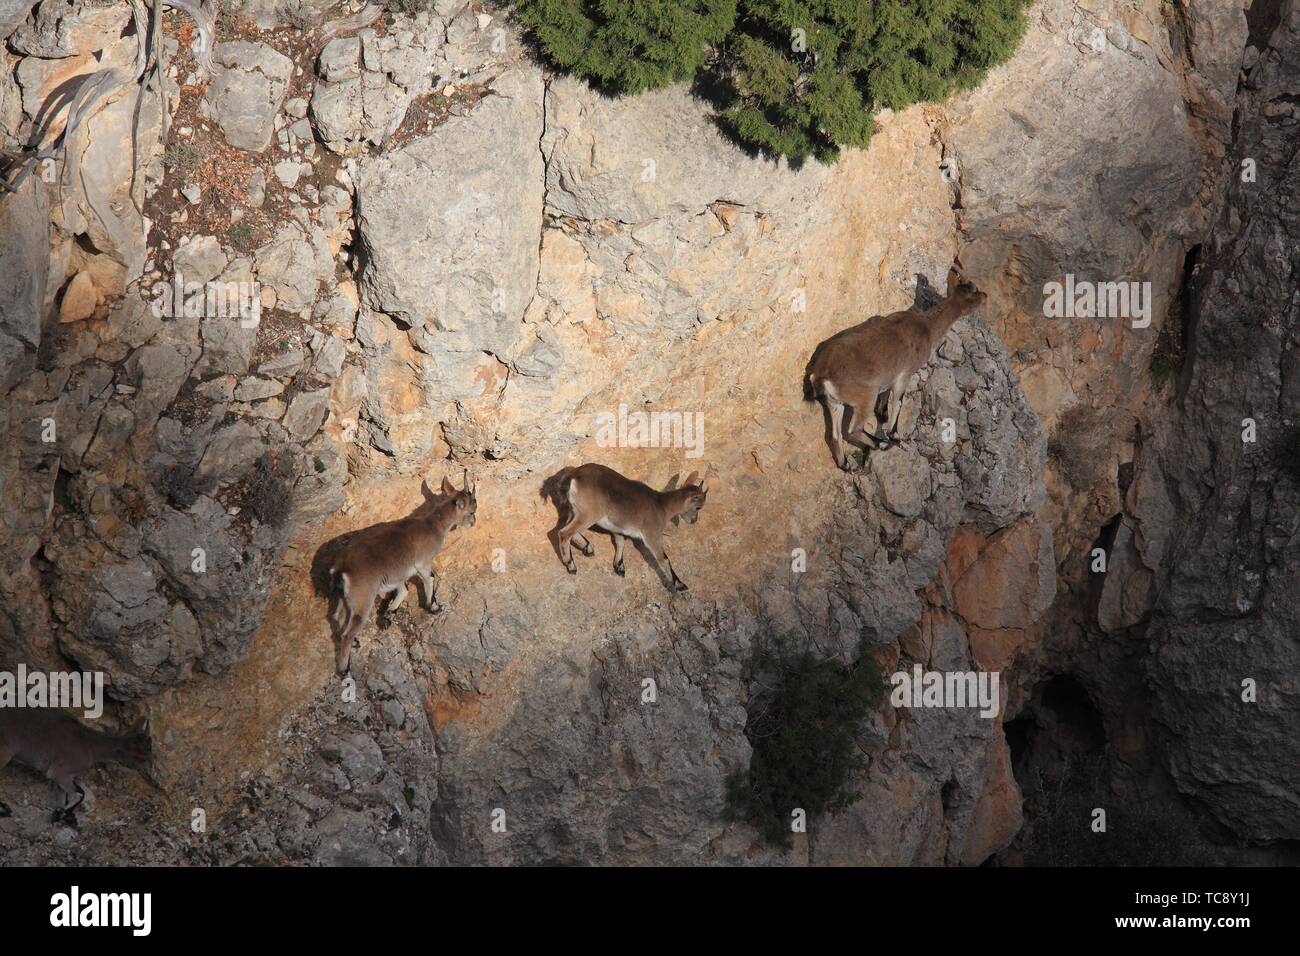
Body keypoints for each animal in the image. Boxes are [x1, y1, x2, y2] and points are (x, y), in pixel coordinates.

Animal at [0, 709, 151, 824]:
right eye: (141, 755)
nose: (146, 770)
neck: (90, 746)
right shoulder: (60, 772)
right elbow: (79, 794)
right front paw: (60, 814)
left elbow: (71, 794)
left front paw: (64, 814)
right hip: (5, 752)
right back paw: (4, 809)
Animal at [328, 471, 478, 674]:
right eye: (471, 511)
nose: (473, 522)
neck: (433, 525)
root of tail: (342, 568)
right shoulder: (423, 563)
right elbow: (430, 579)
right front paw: (433, 607)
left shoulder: (399, 573)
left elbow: (403, 590)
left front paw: (388, 613)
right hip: (362, 599)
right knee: (347, 633)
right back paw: (344, 669)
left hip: (343, 599)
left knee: (338, 619)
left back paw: (356, 642)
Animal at [551, 464, 708, 592]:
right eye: (699, 507)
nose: (694, 521)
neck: (661, 505)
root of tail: (575, 474)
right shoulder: (652, 535)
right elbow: (664, 559)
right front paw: (679, 585)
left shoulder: (618, 527)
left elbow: (620, 542)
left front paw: (619, 566)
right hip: (589, 514)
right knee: (564, 533)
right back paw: (570, 565)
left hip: (575, 510)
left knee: (562, 530)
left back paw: (587, 548)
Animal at [805, 266, 987, 470]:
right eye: (974, 289)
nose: (985, 296)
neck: (926, 328)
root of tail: (820, 374)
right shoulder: (905, 375)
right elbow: (898, 402)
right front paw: (895, 436)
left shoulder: (891, 376)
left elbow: (886, 397)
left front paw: (883, 415)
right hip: (865, 397)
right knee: (852, 430)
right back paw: (882, 444)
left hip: (834, 403)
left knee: (835, 435)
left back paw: (846, 465)